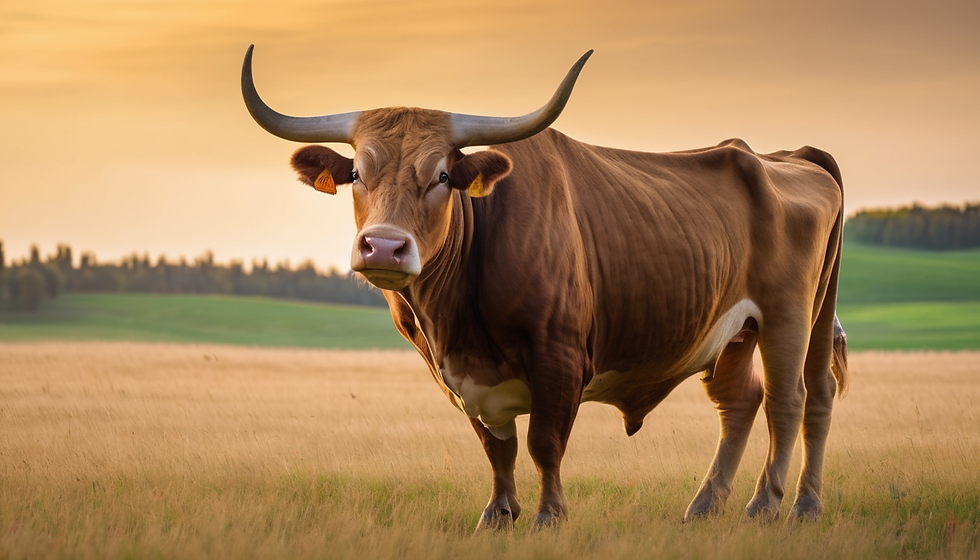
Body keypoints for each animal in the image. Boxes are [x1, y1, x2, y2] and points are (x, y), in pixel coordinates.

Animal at [241, 45, 849, 529]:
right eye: (356, 175)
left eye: (443, 175)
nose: (384, 247)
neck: (456, 322)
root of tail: (783, 156)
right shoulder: (457, 374)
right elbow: (496, 446)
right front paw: (497, 514)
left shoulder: (560, 354)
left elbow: (543, 442)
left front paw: (548, 516)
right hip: (736, 329)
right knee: (744, 401)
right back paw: (707, 507)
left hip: (791, 317)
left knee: (793, 399)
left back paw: (777, 506)